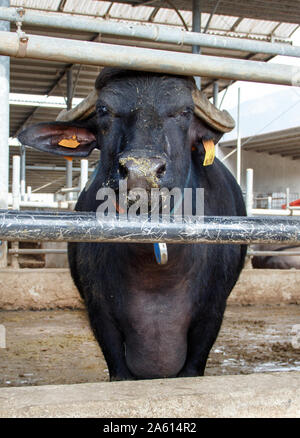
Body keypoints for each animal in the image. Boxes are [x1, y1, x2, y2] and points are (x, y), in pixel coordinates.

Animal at [18, 68, 246, 380]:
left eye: (185, 111)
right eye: (104, 110)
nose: (142, 171)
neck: (156, 272)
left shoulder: (211, 314)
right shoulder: (101, 318)